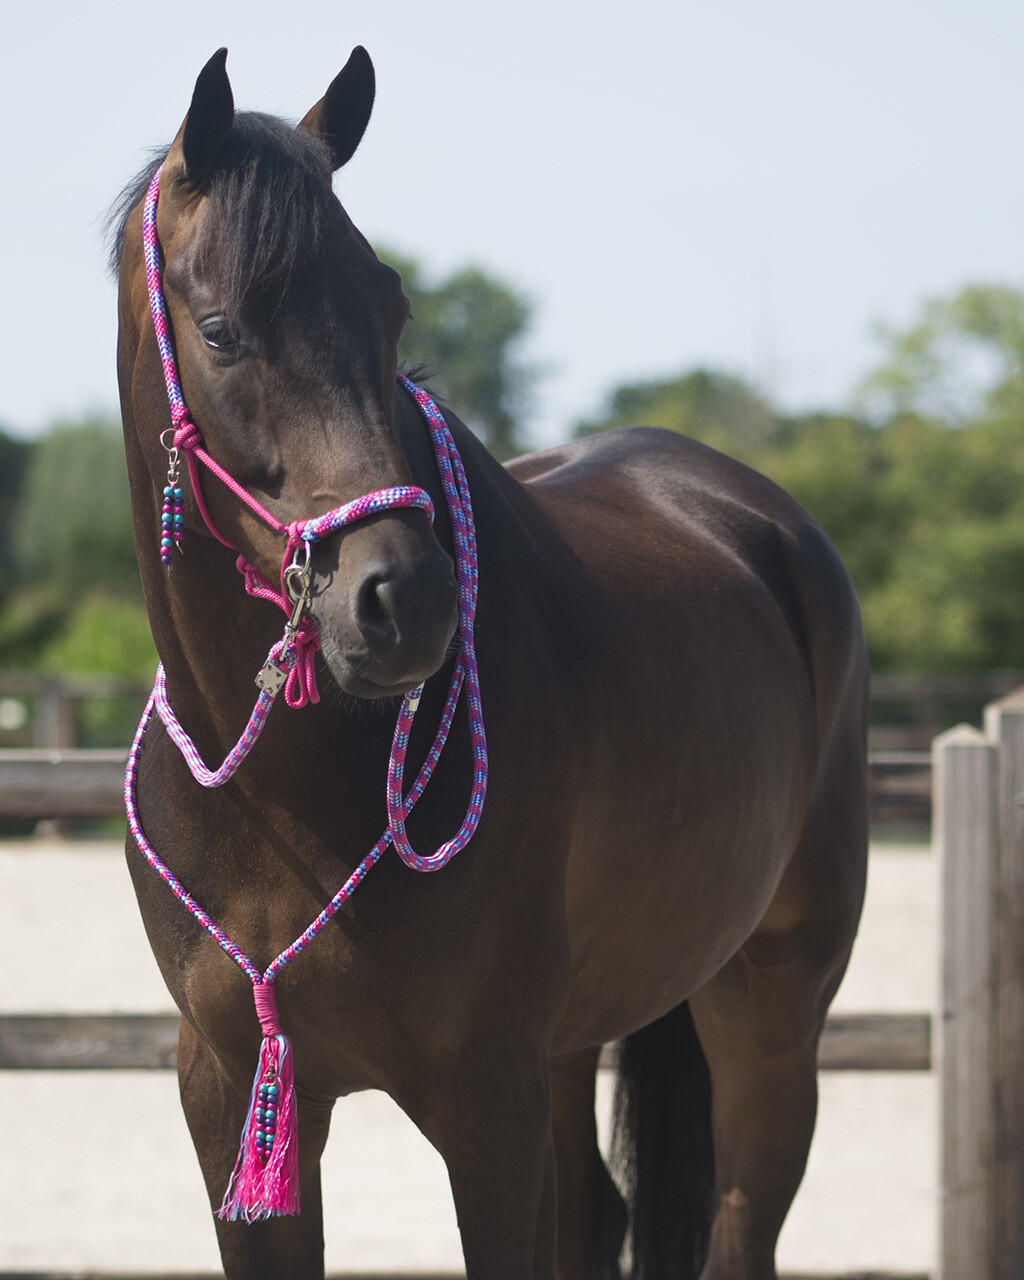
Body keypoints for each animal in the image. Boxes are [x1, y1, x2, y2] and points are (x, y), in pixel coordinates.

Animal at [112, 46, 868, 1280]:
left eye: (390, 302)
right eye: (219, 328)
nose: (403, 598)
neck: (279, 800)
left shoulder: (486, 1105)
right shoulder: (237, 1100)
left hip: (768, 1001)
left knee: (741, 1216)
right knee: (599, 1210)